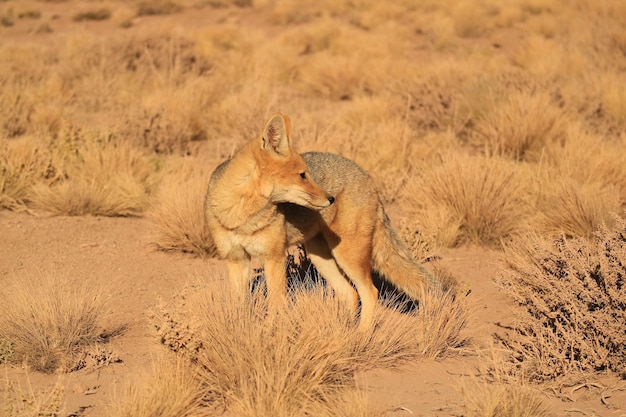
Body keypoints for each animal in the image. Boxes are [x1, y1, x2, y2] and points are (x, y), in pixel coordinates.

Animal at [204, 112, 434, 330]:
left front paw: (269, 334)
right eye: (302, 175)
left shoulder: (274, 258)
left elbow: (276, 306)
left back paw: (361, 336)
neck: (240, 216)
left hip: (347, 257)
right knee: (350, 293)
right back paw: (343, 331)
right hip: (321, 258)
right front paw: (239, 330)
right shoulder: (235, 259)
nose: (330, 198)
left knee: (370, 292)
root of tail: (367, 176)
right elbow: (239, 306)